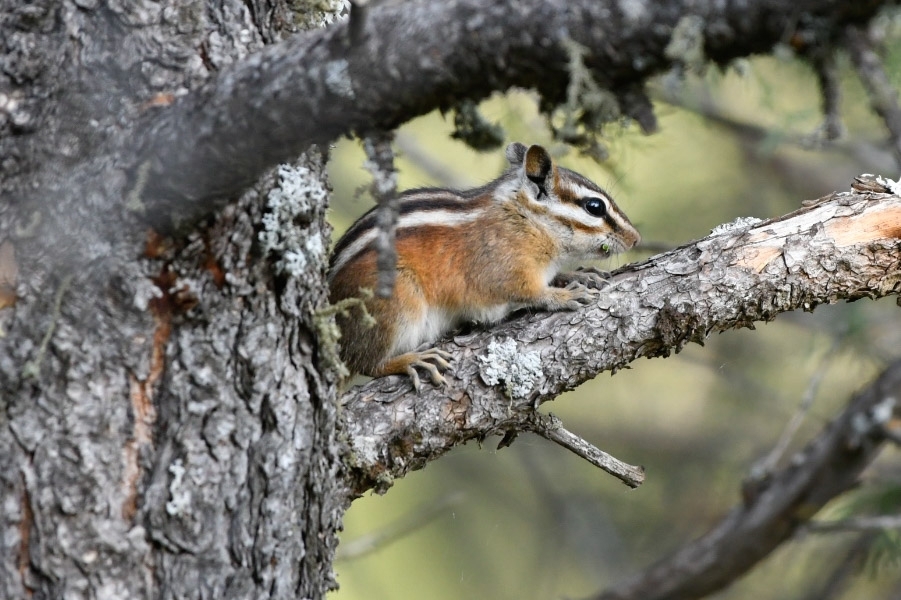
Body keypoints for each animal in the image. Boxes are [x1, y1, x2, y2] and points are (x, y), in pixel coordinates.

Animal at [328, 142, 641, 391]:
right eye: (594, 207)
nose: (636, 239)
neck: (526, 219)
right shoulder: (503, 269)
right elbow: (529, 292)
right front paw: (564, 295)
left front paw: (578, 275)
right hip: (395, 304)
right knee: (368, 363)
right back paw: (412, 360)